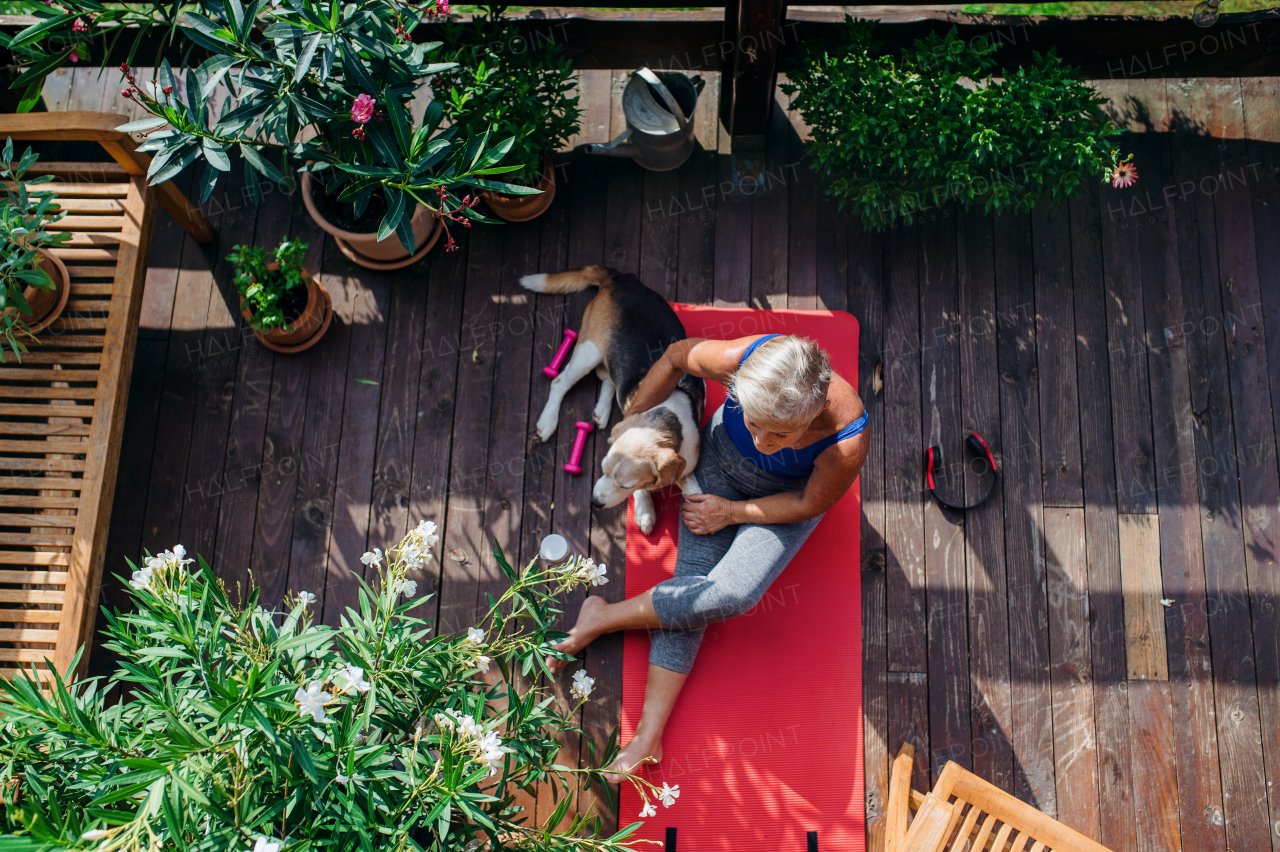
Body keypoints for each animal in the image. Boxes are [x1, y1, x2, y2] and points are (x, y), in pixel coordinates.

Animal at [517, 266, 706, 532]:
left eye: (624, 485)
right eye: (602, 469)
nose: (595, 502)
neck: (663, 416)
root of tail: (620, 277)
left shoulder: (686, 460)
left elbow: (693, 488)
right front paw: (644, 511)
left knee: (608, 378)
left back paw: (602, 411)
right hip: (589, 350)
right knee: (559, 382)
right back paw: (548, 421)